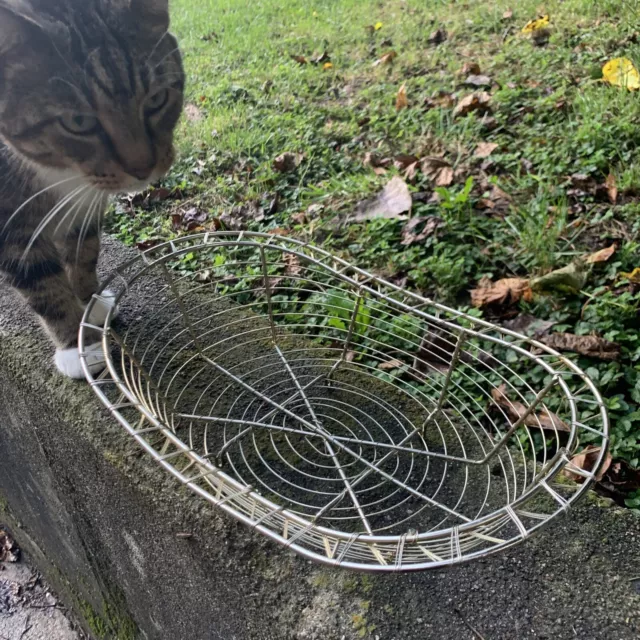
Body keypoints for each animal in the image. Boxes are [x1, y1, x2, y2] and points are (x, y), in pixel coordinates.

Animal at [0, 0, 185, 378]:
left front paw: (88, 303)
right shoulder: (10, 224)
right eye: (78, 122)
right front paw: (76, 346)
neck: (64, 174)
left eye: (157, 99)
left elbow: (83, 250)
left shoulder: (85, 204)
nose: (142, 169)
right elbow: (43, 283)